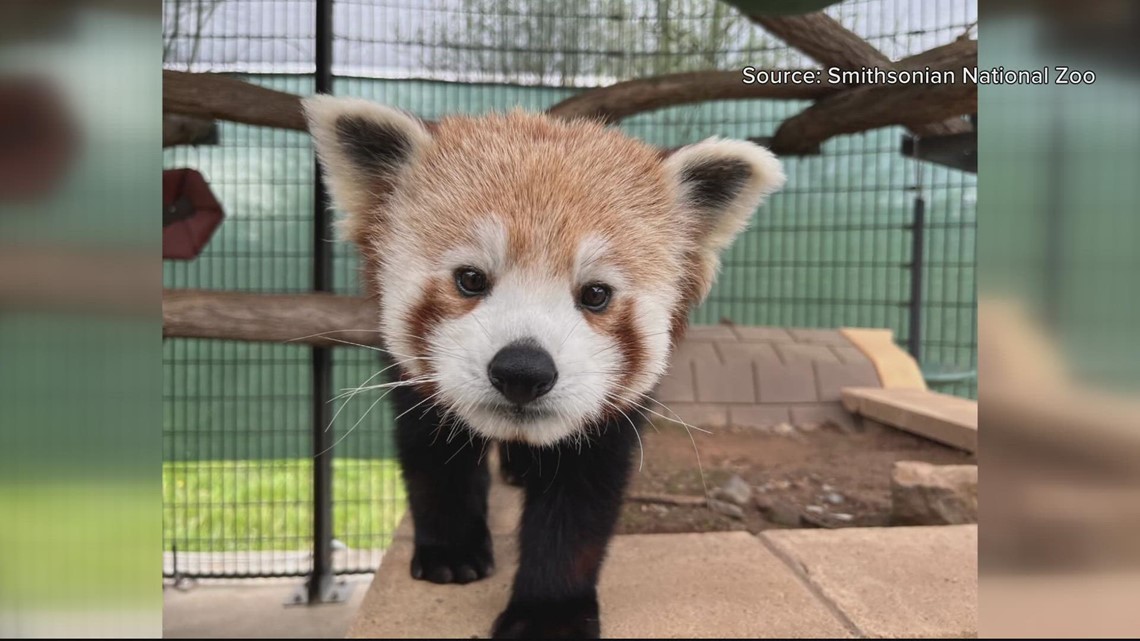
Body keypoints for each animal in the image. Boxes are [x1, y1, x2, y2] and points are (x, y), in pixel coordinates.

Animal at [303, 95, 784, 638]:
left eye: (595, 294)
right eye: (471, 279)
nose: (523, 371)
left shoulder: (609, 406)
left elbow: (579, 498)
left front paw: (549, 612)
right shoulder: (412, 376)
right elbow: (433, 449)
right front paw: (451, 549)